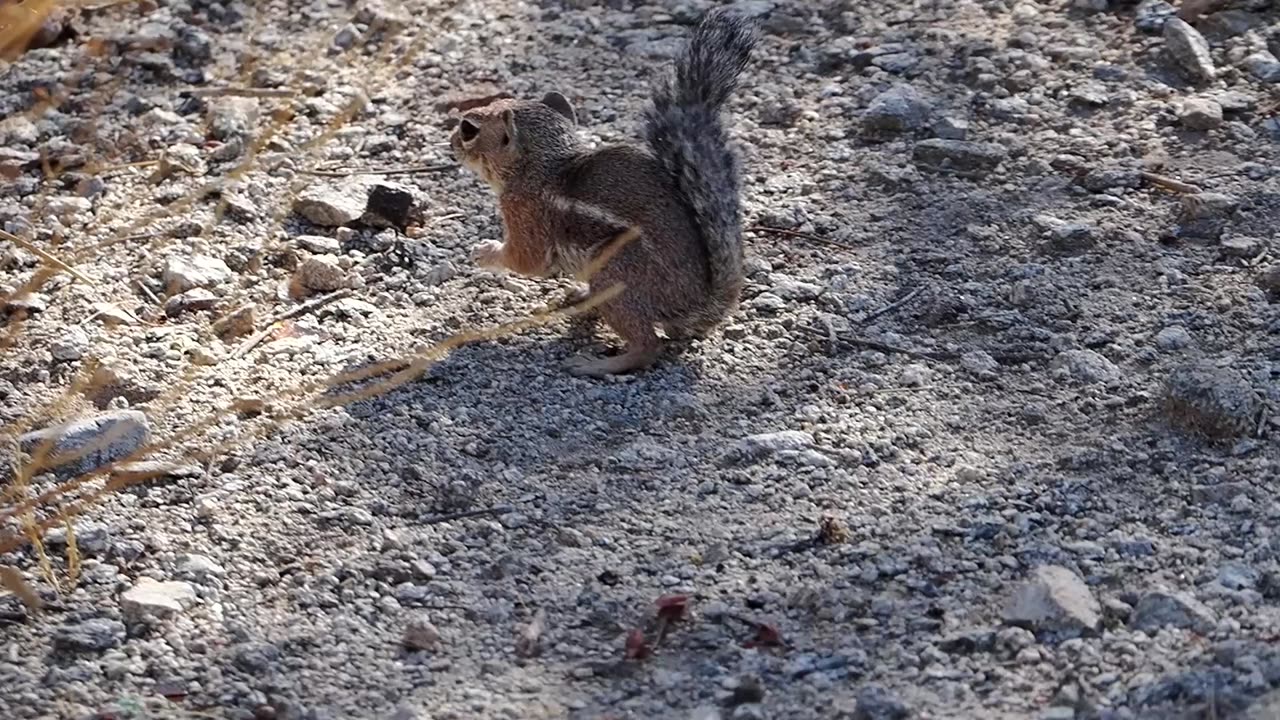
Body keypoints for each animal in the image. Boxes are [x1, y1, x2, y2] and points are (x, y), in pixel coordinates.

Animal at [450, 8, 752, 376]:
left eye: (469, 129)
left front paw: (485, 252)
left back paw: (595, 365)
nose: (450, 141)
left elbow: (526, 261)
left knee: (647, 346)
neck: (543, 165)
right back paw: (579, 297)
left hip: (615, 275)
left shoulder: (524, 212)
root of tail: (700, 305)